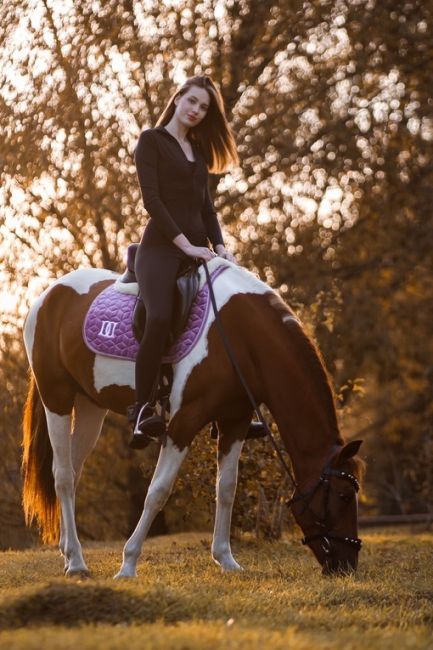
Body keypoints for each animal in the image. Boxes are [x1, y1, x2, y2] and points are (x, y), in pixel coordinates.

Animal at [22, 256, 362, 576]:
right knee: (63, 476)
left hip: (90, 406)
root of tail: (48, 295)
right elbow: (158, 491)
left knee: (73, 471)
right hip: (57, 398)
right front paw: (128, 564)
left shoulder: (234, 422)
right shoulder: (183, 422)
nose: (347, 565)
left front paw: (226, 559)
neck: (239, 336)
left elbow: (227, 488)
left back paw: (69, 554)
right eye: (344, 495)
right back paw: (77, 562)